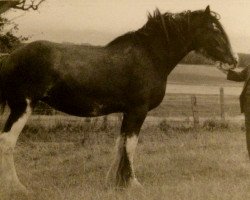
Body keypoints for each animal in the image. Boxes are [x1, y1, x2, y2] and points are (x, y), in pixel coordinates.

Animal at [0, 5, 236, 196]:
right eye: (214, 29)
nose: (233, 60)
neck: (149, 56)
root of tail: (10, 57)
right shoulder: (138, 111)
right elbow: (130, 146)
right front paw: (133, 183)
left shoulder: (127, 112)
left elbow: (120, 144)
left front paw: (114, 182)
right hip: (22, 107)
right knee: (7, 142)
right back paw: (17, 188)